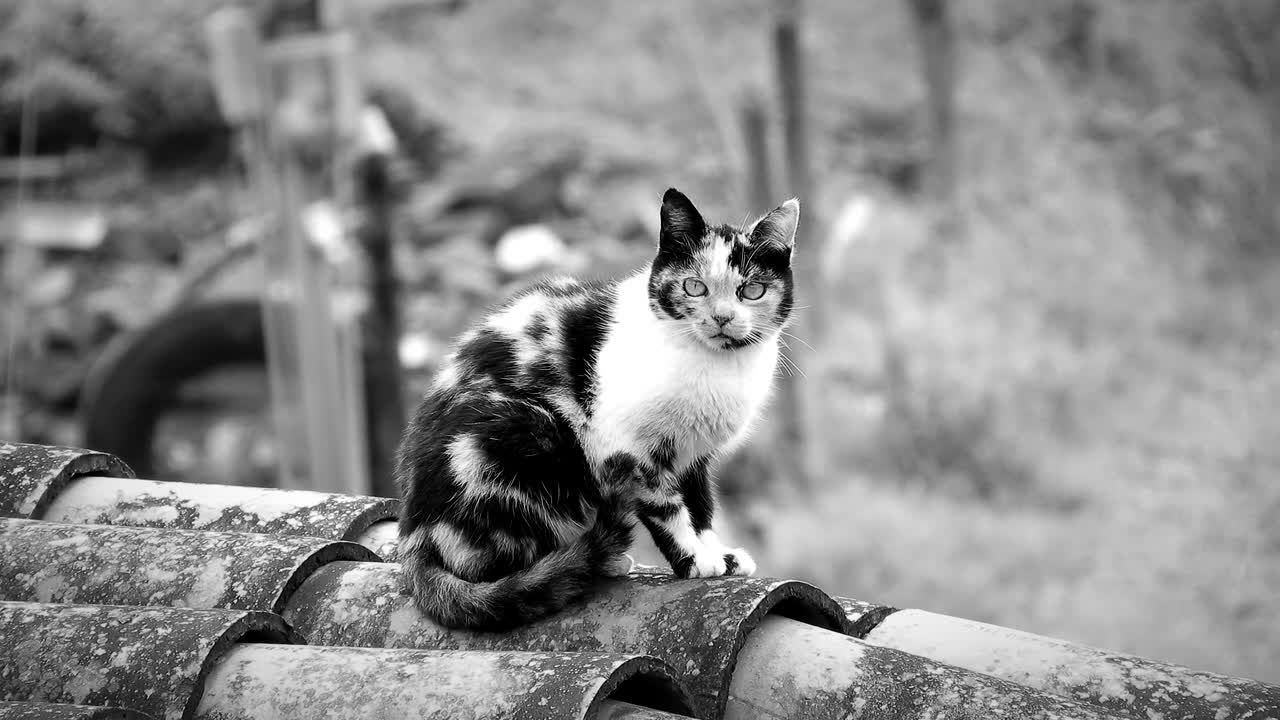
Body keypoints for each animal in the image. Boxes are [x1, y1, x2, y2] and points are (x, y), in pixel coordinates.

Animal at [391, 185, 798, 627]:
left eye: (751, 291)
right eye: (694, 287)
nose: (722, 318)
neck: (718, 367)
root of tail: (414, 535)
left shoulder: (694, 454)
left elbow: (701, 505)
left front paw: (718, 554)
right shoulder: (631, 450)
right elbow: (668, 508)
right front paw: (695, 561)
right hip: (523, 435)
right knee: (487, 565)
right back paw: (578, 562)